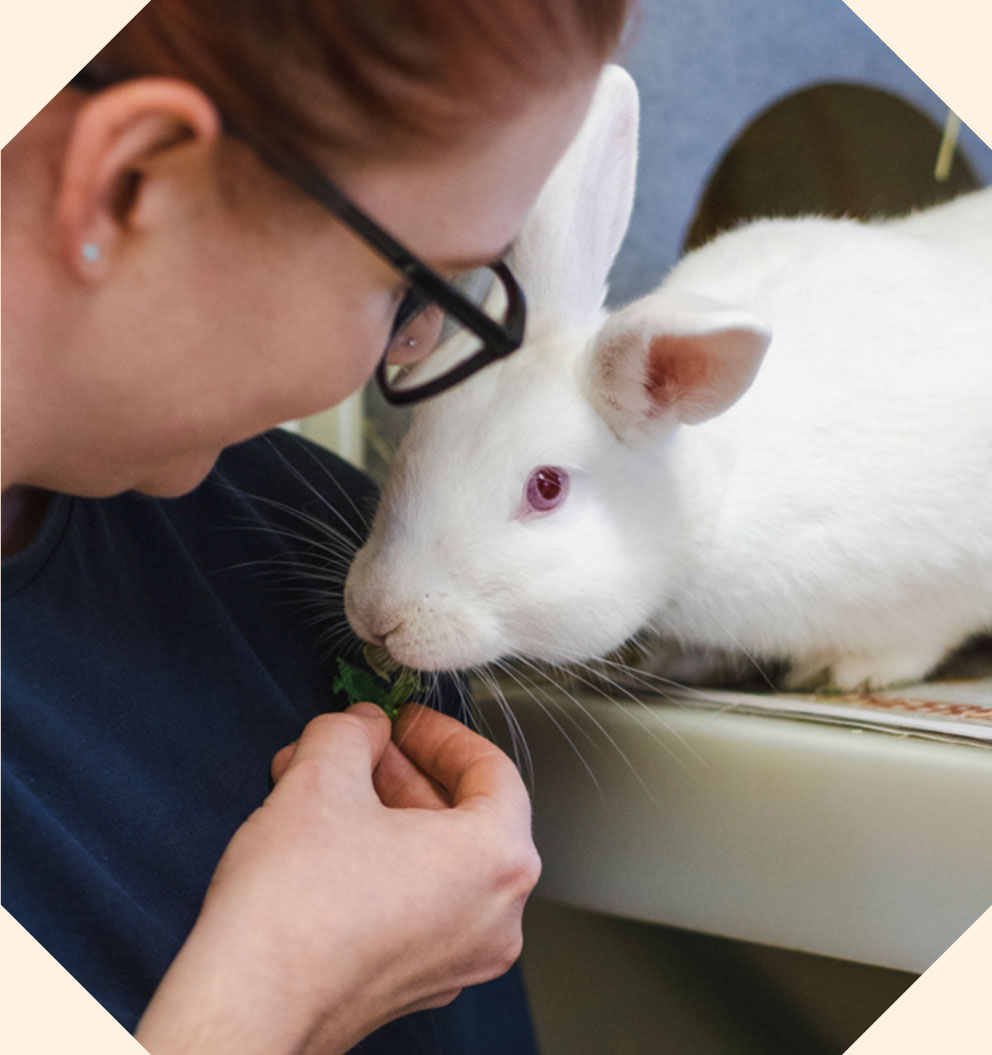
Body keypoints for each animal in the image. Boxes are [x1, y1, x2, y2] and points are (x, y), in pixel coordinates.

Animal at [345, 64, 992, 693]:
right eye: (418, 433)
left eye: (547, 488)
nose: (378, 615)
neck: (710, 503)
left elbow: (913, 639)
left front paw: (843, 674)